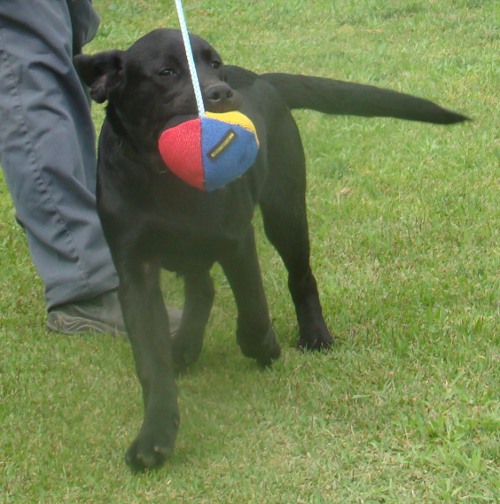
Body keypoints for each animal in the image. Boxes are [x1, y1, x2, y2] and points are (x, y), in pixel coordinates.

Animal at [75, 26, 468, 468]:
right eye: (166, 72)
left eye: (214, 64)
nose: (222, 93)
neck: (166, 180)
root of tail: (263, 79)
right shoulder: (135, 271)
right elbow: (150, 361)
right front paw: (154, 436)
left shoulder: (236, 239)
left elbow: (253, 308)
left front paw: (263, 346)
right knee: (203, 288)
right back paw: (187, 347)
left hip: (285, 211)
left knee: (301, 277)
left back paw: (314, 336)